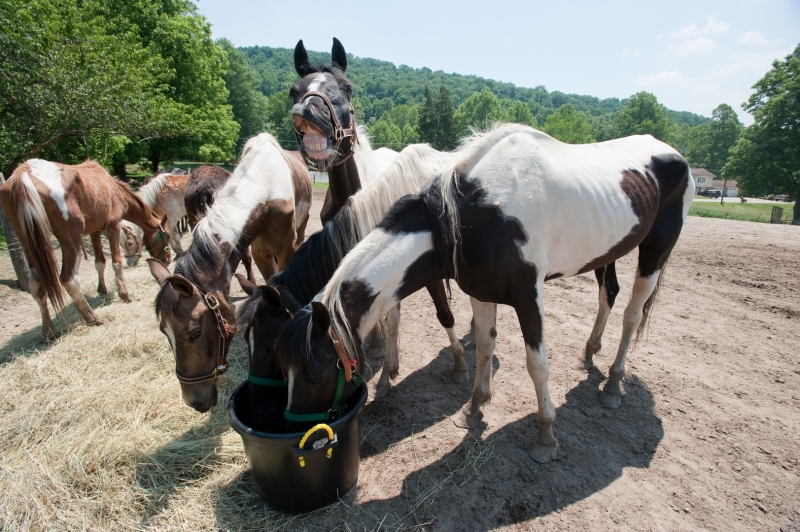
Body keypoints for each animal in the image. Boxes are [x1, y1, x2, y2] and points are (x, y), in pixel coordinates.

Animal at [0, 159, 172, 339]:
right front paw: (124, 294)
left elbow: (100, 262)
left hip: (28, 242)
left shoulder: (95, 230)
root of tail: (23, 174)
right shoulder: (113, 225)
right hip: (71, 239)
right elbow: (116, 262)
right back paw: (93, 318)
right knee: (69, 279)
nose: (168, 260)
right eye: (168, 236)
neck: (113, 189)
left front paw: (102, 289)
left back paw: (49, 330)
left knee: (35, 283)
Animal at [147, 133, 312, 412]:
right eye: (163, 331)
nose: (195, 401)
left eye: (194, 333)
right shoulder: (259, 250)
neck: (265, 186)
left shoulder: (285, 248)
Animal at [275, 124, 695, 464]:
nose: (294, 433)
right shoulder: (480, 291)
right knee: (609, 294)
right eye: (279, 361)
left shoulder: (528, 295)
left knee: (632, 314)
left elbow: (537, 364)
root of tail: (673, 154)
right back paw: (591, 351)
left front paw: (545, 436)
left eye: (316, 372)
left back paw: (612, 384)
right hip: (607, 253)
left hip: (655, 251)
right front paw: (475, 407)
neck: (474, 214)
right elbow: (484, 346)